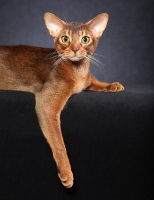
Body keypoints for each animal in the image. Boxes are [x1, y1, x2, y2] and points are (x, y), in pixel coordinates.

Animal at [0, 12, 124, 188]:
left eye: (85, 39)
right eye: (65, 39)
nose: (75, 49)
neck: (78, 71)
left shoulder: (86, 80)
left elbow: (93, 81)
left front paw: (112, 85)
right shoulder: (46, 105)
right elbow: (59, 142)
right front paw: (66, 172)